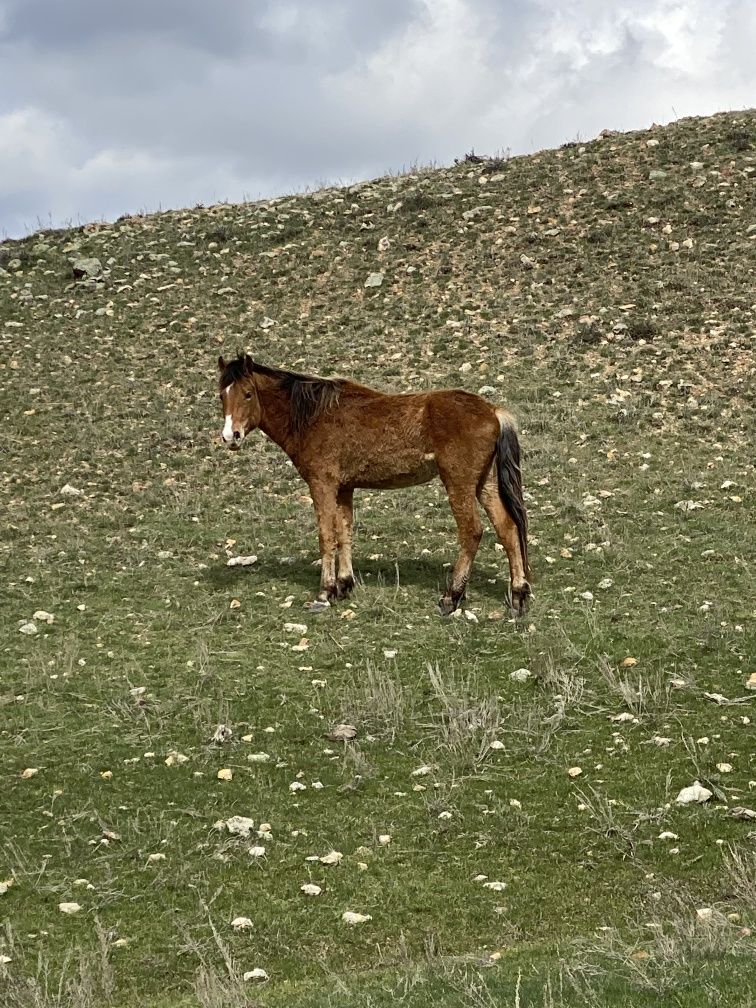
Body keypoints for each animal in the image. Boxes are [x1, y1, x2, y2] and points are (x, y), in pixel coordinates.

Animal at [215, 354, 528, 620]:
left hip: (459, 484)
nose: (231, 436)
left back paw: (452, 596)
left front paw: (324, 593)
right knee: (508, 529)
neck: (314, 416)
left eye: (248, 393)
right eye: (222, 395)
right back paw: (518, 597)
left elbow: (326, 536)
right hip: (485, 484)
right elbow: (344, 532)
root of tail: (493, 411)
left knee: (472, 531)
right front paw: (344, 585)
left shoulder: (322, 485)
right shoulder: (344, 488)